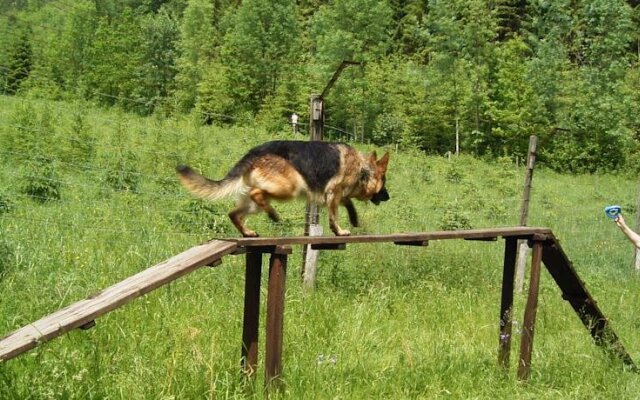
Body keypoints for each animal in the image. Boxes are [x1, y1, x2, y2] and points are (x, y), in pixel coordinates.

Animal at [175, 140, 390, 236]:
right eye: (385, 181)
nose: (388, 197)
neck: (363, 168)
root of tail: (255, 152)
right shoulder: (333, 193)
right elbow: (335, 215)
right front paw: (339, 230)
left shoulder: (335, 195)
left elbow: (349, 204)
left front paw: (354, 219)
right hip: (290, 187)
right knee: (257, 194)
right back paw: (273, 215)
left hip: (252, 203)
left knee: (234, 213)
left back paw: (248, 232)